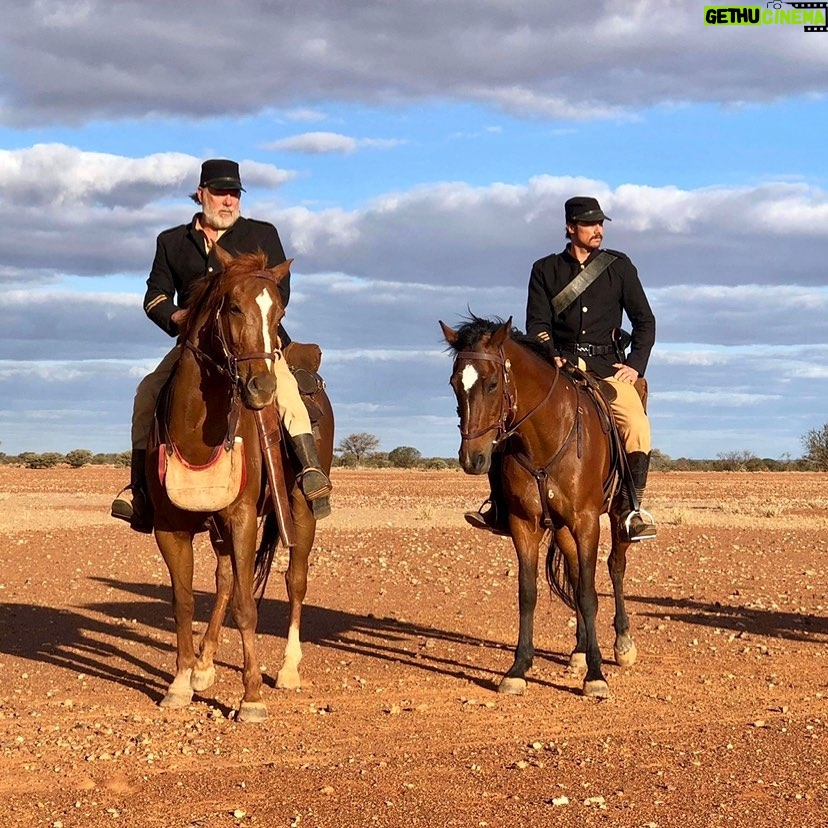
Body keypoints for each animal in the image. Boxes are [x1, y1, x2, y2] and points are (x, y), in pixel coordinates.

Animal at [147, 249, 334, 720]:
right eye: (232, 307)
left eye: (279, 312)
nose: (262, 386)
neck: (197, 433)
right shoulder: (170, 528)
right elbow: (183, 602)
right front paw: (181, 681)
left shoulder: (243, 516)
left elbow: (248, 607)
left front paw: (251, 696)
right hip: (217, 529)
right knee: (225, 581)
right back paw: (204, 665)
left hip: (299, 512)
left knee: (295, 580)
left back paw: (287, 670)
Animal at [440, 314, 640, 696]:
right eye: (455, 383)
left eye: (492, 384)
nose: (472, 459)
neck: (544, 438)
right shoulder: (525, 524)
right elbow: (529, 592)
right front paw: (518, 668)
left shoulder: (586, 521)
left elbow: (590, 594)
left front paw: (596, 676)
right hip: (561, 528)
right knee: (575, 574)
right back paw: (579, 651)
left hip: (615, 515)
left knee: (615, 566)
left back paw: (622, 643)